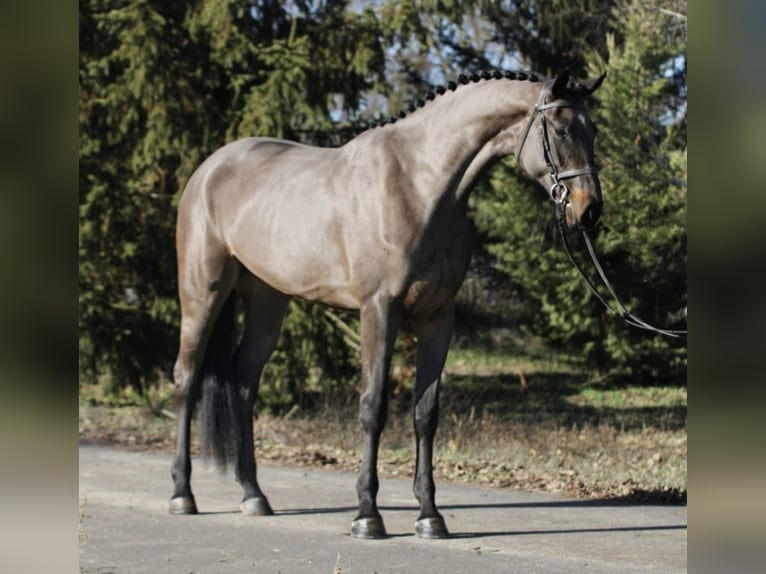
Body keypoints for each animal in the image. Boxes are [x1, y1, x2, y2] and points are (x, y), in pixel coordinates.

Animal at [169, 68, 605, 539]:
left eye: (593, 130)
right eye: (561, 129)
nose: (589, 211)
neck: (419, 185)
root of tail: (209, 169)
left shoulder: (439, 316)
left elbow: (426, 413)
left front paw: (430, 516)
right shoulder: (379, 309)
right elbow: (372, 407)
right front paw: (367, 515)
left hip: (268, 300)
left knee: (244, 381)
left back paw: (254, 495)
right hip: (202, 294)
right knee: (186, 379)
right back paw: (182, 494)